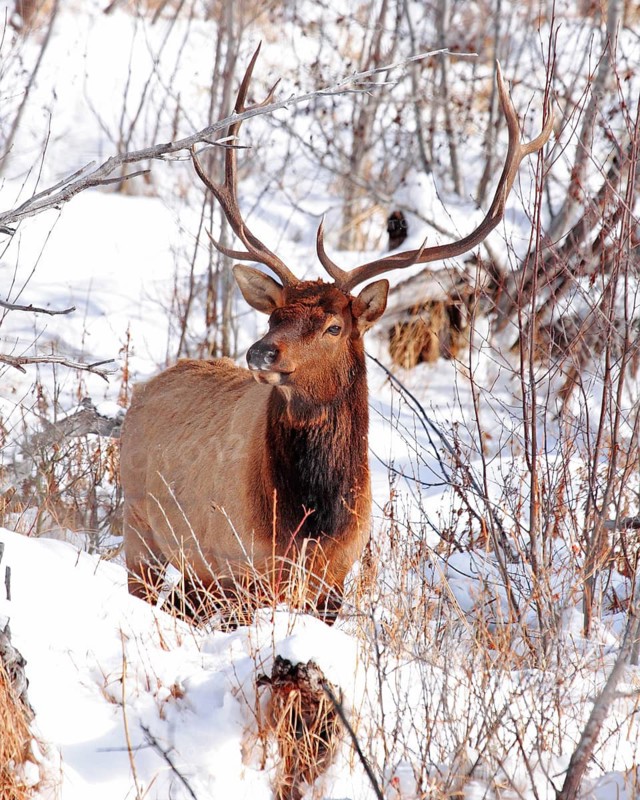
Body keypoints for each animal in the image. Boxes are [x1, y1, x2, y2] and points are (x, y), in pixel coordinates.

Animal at [120, 46, 552, 624]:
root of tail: (143, 390)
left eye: (333, 326)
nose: (261, 352)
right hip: (140, 535)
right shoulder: (240, 572)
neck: (309, 526)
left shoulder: (333, 584)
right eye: (273, 316)